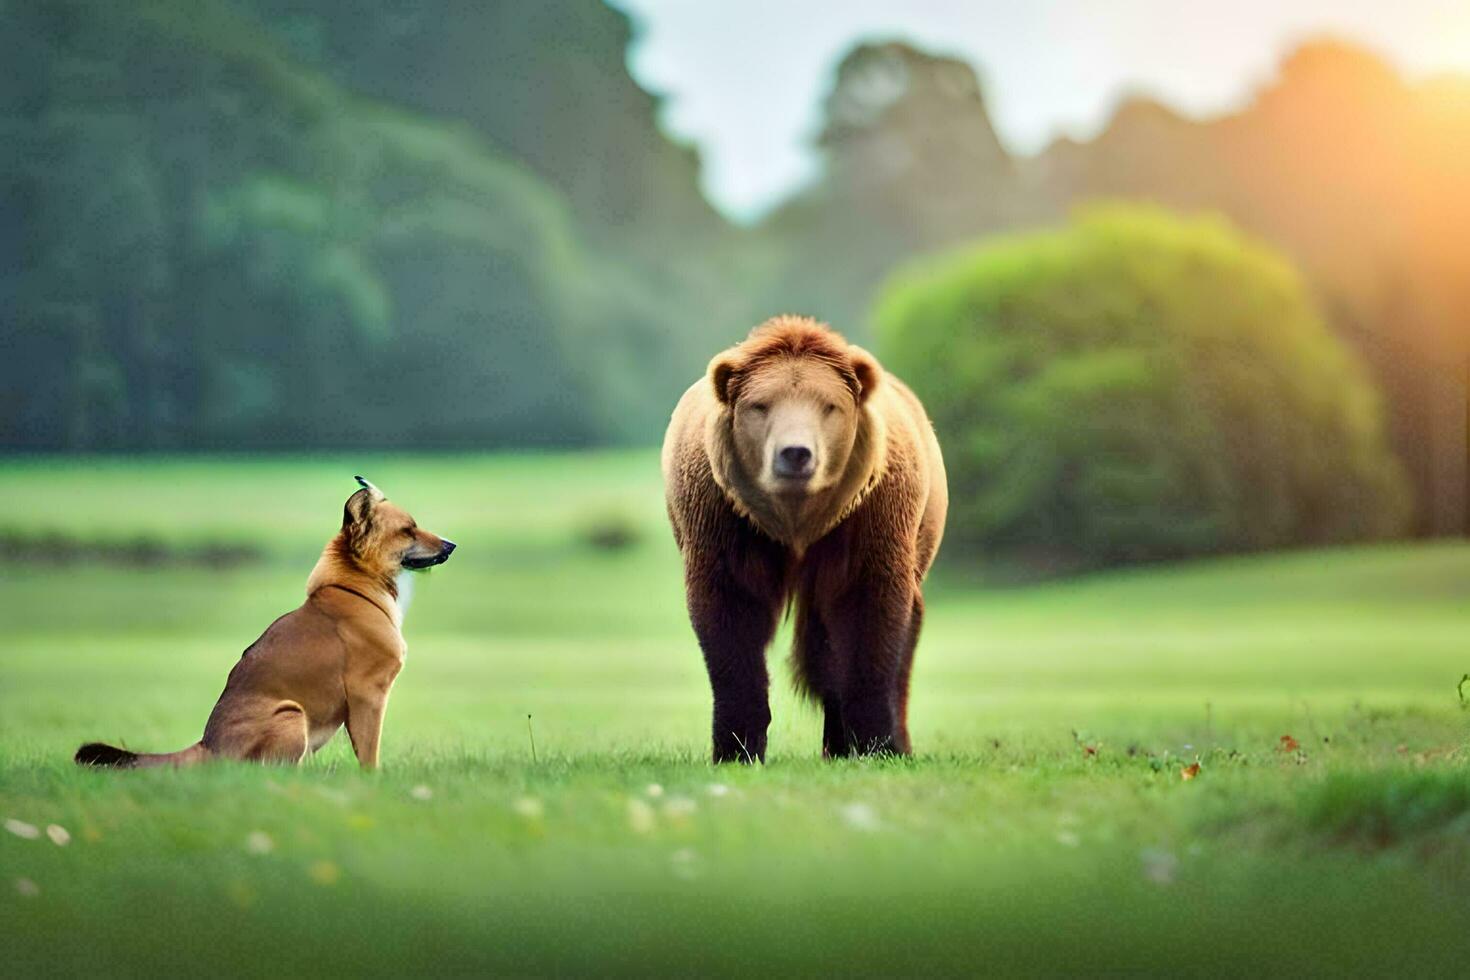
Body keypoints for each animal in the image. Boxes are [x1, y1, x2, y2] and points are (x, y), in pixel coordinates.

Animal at [74, 478, 449, 769]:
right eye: (408, 530)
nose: (451, 545)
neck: (356, 587)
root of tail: (207, 747)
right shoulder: (368, 696)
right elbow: (369, 754)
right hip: (291, 713)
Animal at [664, 318, 946, 764]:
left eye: (829, 405)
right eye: (760, 405)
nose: (795, 453)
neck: (797, 522)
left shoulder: (868, 522)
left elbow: (868, 618)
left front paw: (875, 743)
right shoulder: (725, 522)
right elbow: (731, 618)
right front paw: (737, 747)